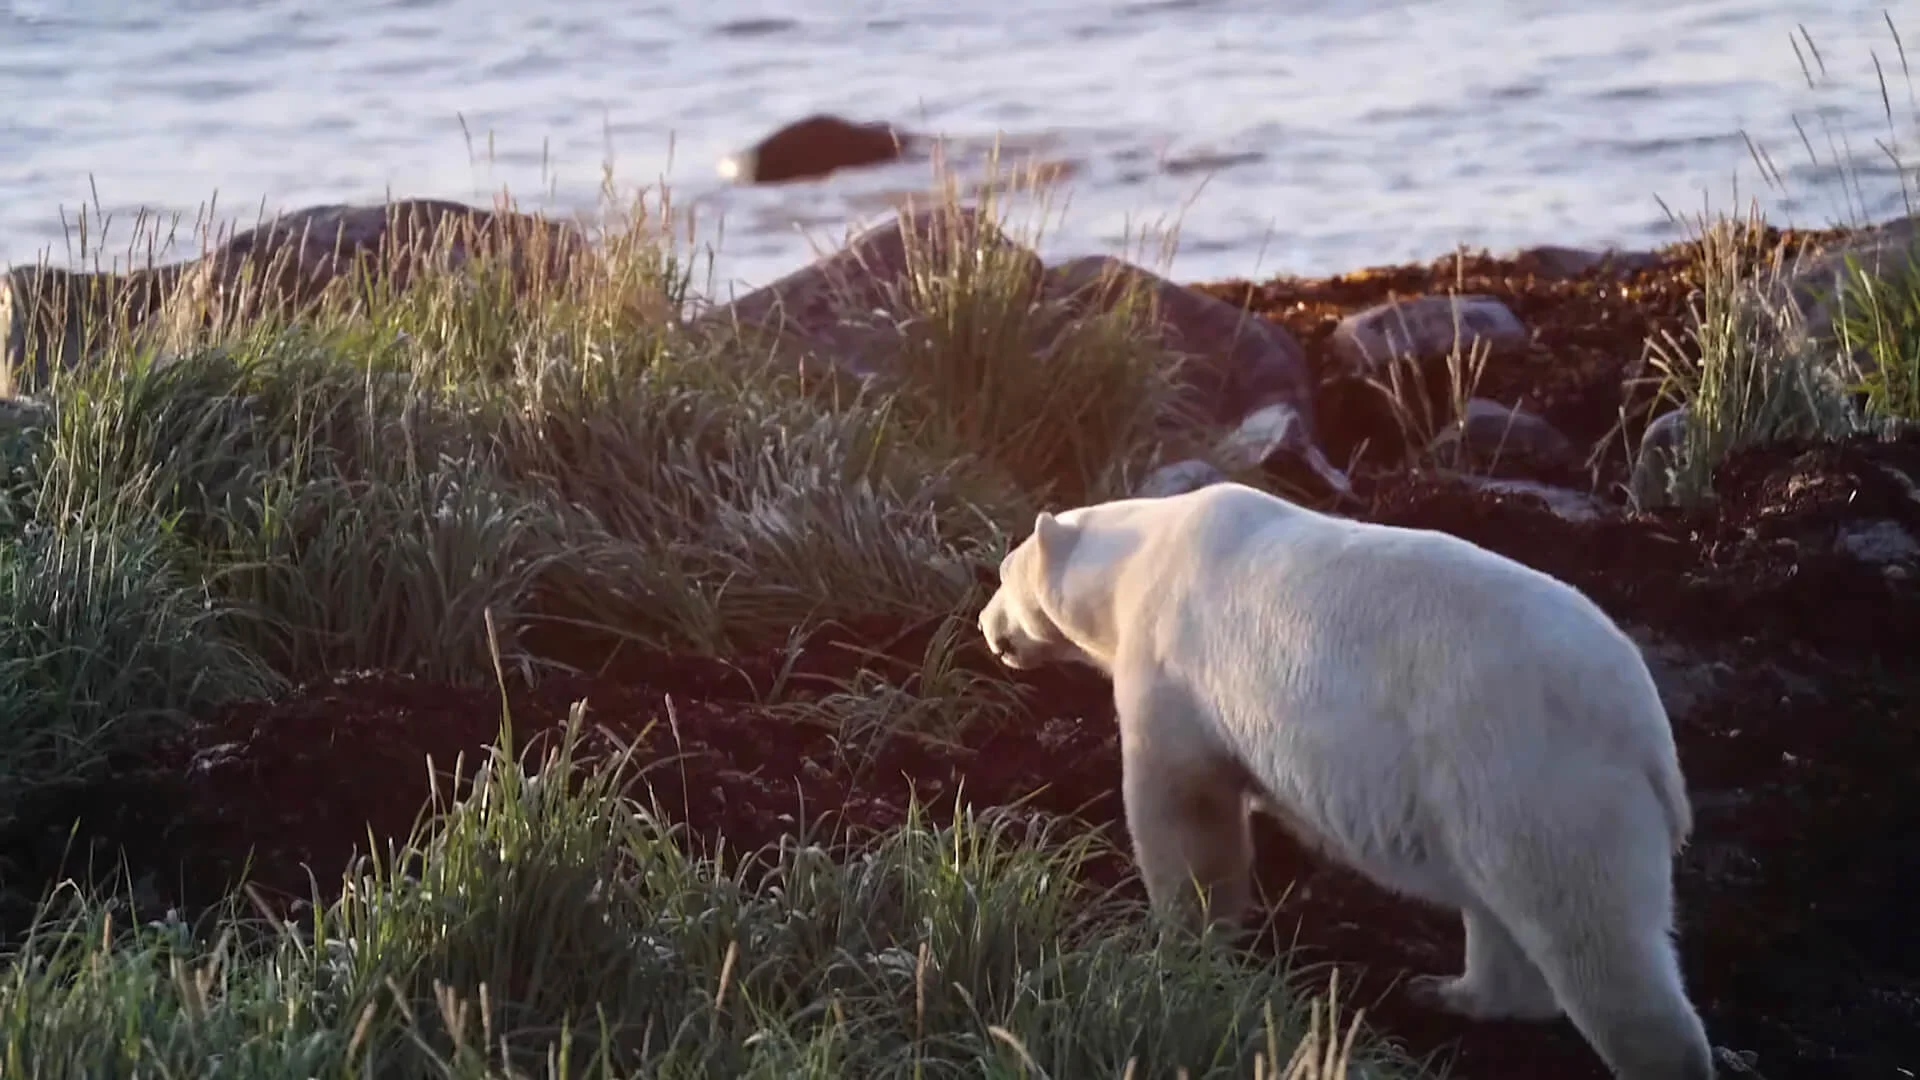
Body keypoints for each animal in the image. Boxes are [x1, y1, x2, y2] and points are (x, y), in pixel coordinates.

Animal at [983, 480, 1720, 1076]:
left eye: (1001, 573)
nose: (986, 629)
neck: (1139, 561)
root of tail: (1647, 733)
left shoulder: (1171, 664)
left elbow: (1185, 812)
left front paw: (1182, 946)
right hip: (1485, 796)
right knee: (1501, 912)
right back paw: (1446, 993)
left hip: (1534, 772)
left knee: (1593, 936)